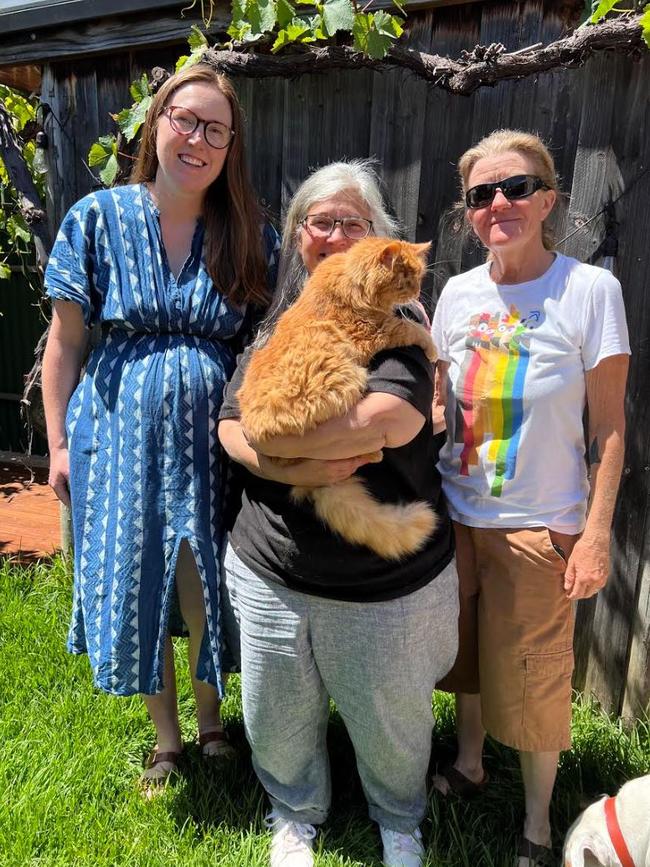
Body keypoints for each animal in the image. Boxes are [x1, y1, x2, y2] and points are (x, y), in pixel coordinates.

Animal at [239, 237, 440, 564]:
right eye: (405, 278)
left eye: (419, 276)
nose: (417, 292)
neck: (349, 279)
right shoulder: (374, 330)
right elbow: (412, 329)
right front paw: (432, 347)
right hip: (344, 379)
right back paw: (373, 453)